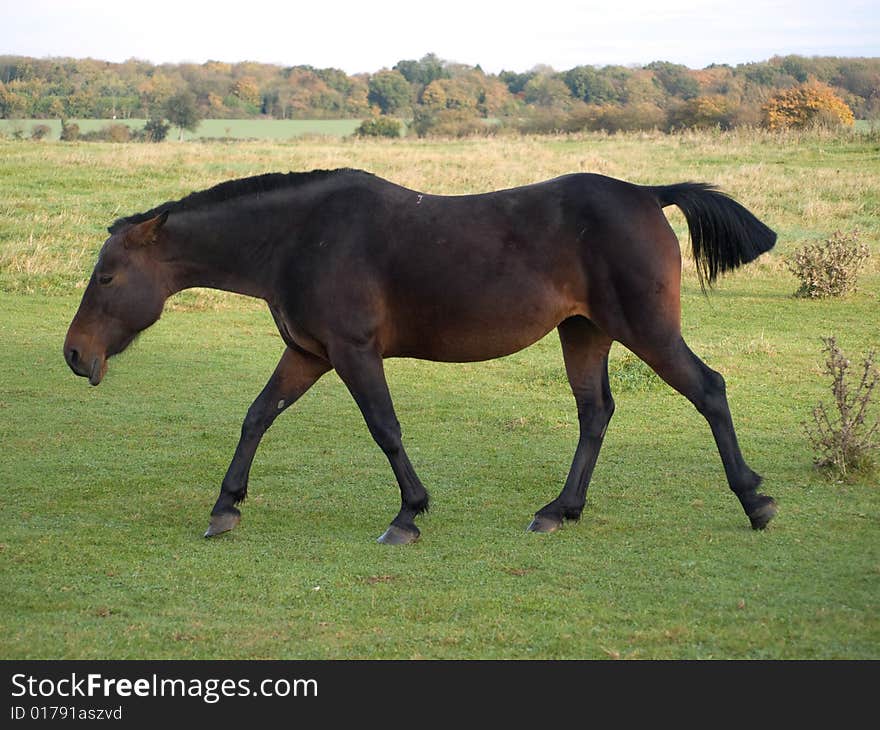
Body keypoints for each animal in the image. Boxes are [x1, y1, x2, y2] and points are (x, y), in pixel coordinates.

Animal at [63, 169, 776, 540]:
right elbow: (257, 416)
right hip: (584, 332)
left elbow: (384, 427)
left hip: (644, 329)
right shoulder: (308, 353)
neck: (299, 238)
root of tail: (649, 193)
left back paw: (755, 501)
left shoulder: (352, 352)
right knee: (595, 413)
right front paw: (225, 508)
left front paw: (408, 514)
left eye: (105, 277)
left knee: (709, 389)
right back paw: (559, 510)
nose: (74, 354)